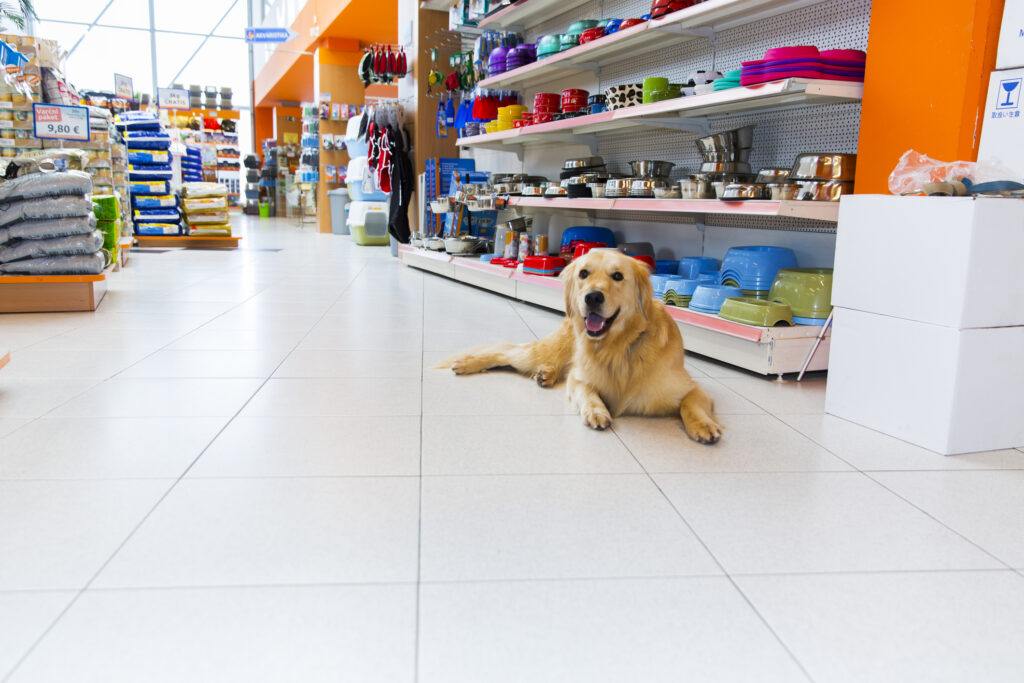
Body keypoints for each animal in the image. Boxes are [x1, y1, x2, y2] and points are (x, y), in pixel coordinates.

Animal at [440, 248, 720, 446]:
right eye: (583, 273)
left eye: (618, 276)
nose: (593, 297)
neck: (618, 347)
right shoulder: (580, 378)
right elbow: (587, 391)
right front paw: (596, 411)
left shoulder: (692, 388)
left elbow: (690, 403)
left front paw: (703, 425)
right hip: (543, 351)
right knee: (504, 352)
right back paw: (467, 363)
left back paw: (546, 374)